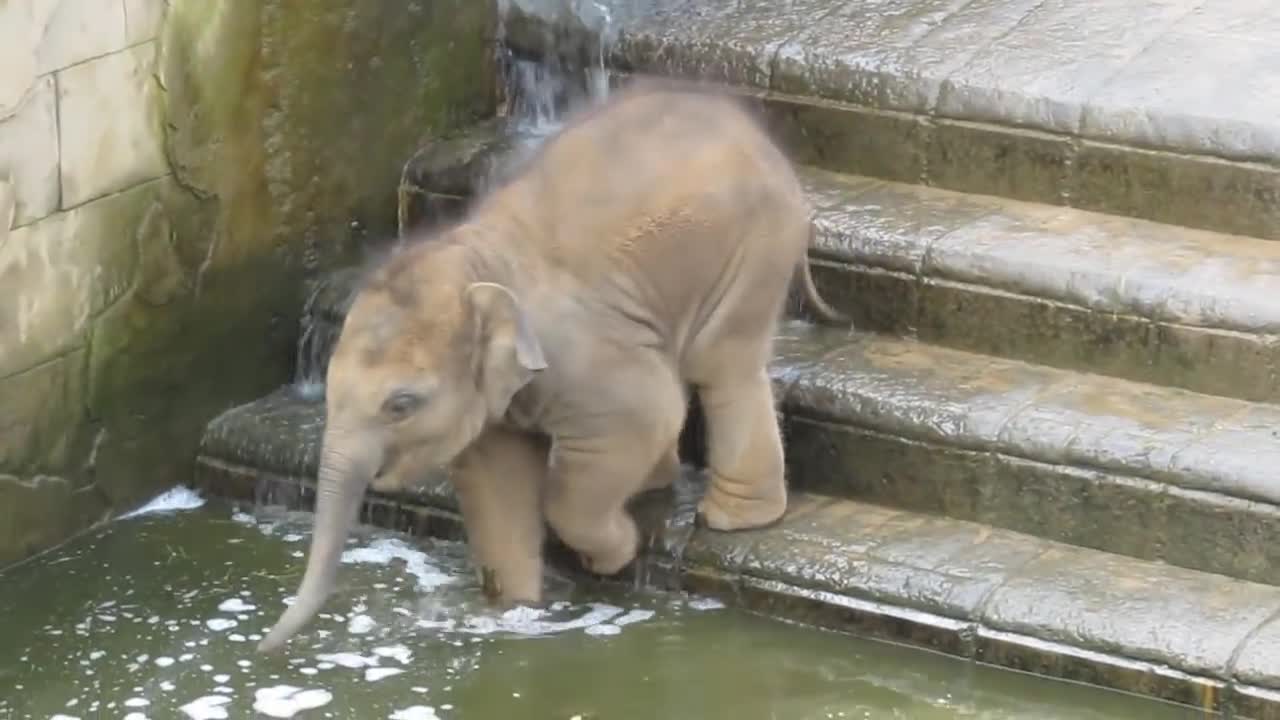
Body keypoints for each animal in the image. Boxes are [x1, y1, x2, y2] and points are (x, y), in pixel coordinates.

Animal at [254, 79, 844, 650]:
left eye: (402, 404)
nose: (265, 649)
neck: (476, 262)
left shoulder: (587, 355)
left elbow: (636, 423)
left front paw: (614, 555)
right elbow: (495, 483)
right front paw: (516, 612)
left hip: (754, 250)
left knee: (721, 364)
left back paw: (729, 520)